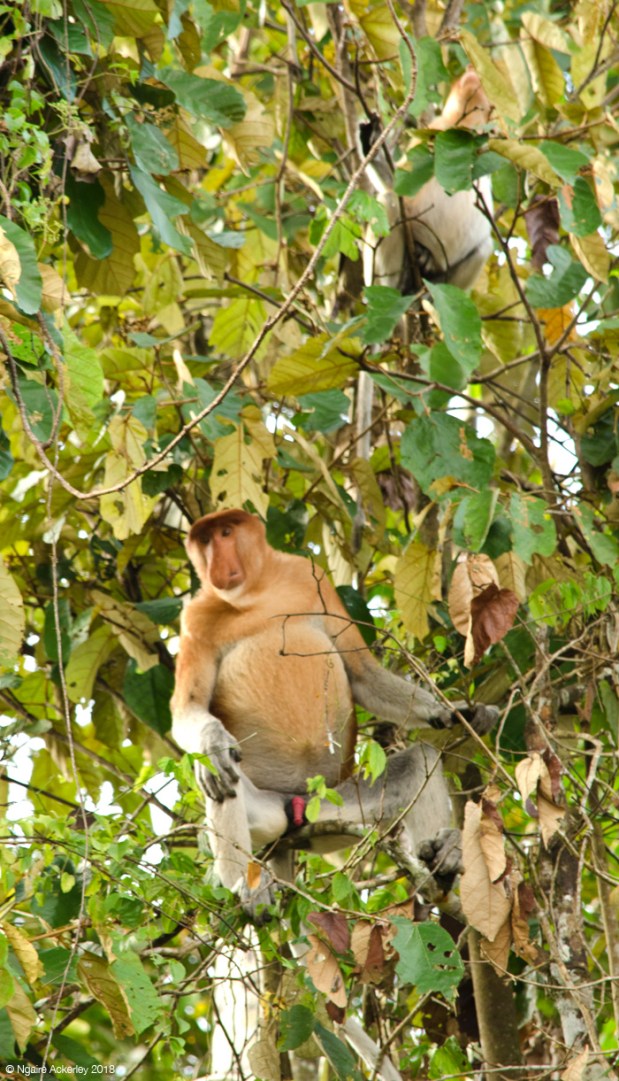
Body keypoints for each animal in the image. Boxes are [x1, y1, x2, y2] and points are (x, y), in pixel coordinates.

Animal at [171, 508, 498, 921]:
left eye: (226, 533)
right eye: (204, 541)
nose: (215, 563)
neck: (254, 596)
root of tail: (294, 811)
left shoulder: (309, 577)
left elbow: (362, 674)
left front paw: (463, 713)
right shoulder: (195, 619)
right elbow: (190, 708)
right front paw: (214, 743)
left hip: (335, 811)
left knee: (420, 760)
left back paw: (442, 865)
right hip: (272, 814)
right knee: (219, 779)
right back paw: (243, 889)